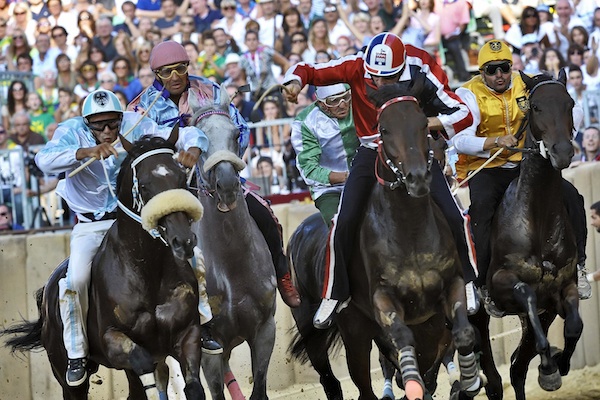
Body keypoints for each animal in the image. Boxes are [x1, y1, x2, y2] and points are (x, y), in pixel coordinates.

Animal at [188, 84, 276, 400]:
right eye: (198, 140)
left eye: (236, 133)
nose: (226, 183)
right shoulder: (209, 346)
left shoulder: (264, 330)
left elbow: (259, 388)